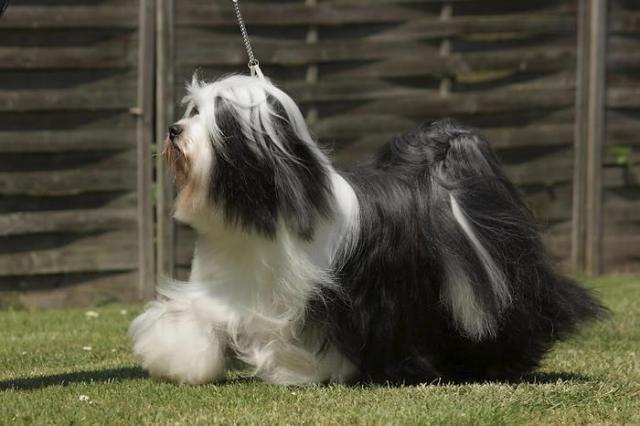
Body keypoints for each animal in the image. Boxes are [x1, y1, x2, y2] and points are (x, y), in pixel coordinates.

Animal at [130, 74, 605, 385]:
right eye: (193, 109)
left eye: (221, 118)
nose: (173, 130)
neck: (264, 211)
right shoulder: (230, 287)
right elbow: (195, 314)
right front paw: (175, 354)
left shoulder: (320, 300)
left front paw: (304, 371)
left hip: (485, 288)